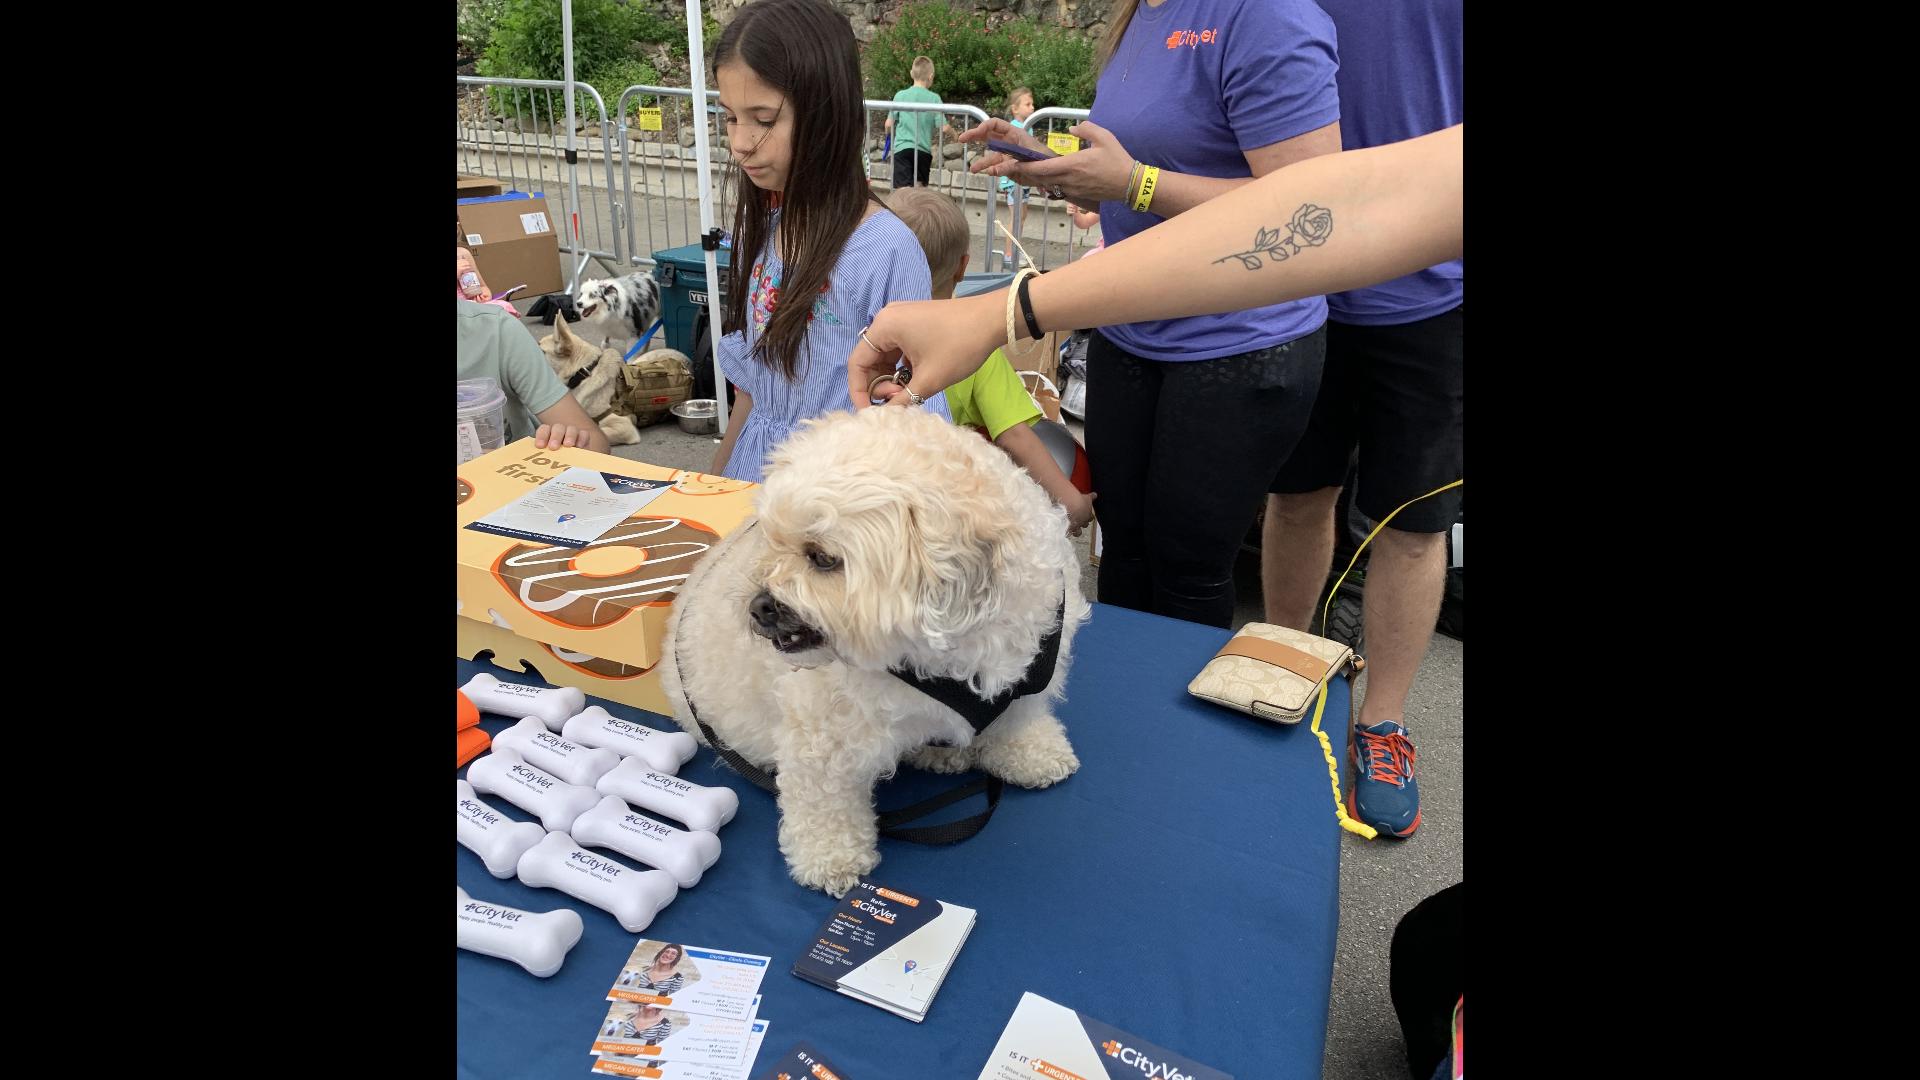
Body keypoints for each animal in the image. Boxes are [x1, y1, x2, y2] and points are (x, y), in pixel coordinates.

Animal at [660, 403, 1090, 891]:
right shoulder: (823, 732)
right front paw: (830, 857)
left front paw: (1034, 754)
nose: (757, 607)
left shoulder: (1029, 674)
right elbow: (824, 799)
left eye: (822, 557)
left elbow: (1018, 720)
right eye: (771, 538)